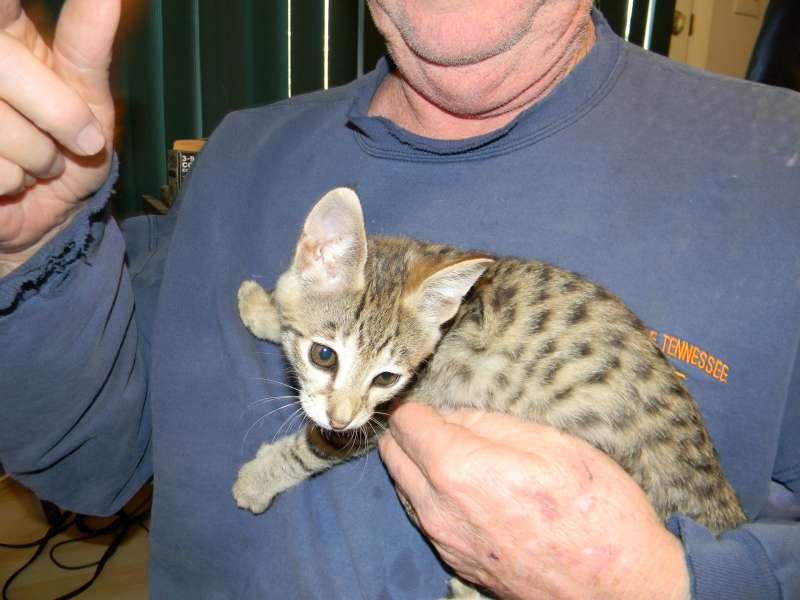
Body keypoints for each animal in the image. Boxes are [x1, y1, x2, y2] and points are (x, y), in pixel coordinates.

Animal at [232, 187, 746, 600]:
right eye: (324, 355)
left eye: (386, 379)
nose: (340, 417)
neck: (448, 325)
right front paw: (265, 307)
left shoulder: (386, 415)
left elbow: (316, 447)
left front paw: (260, 478)